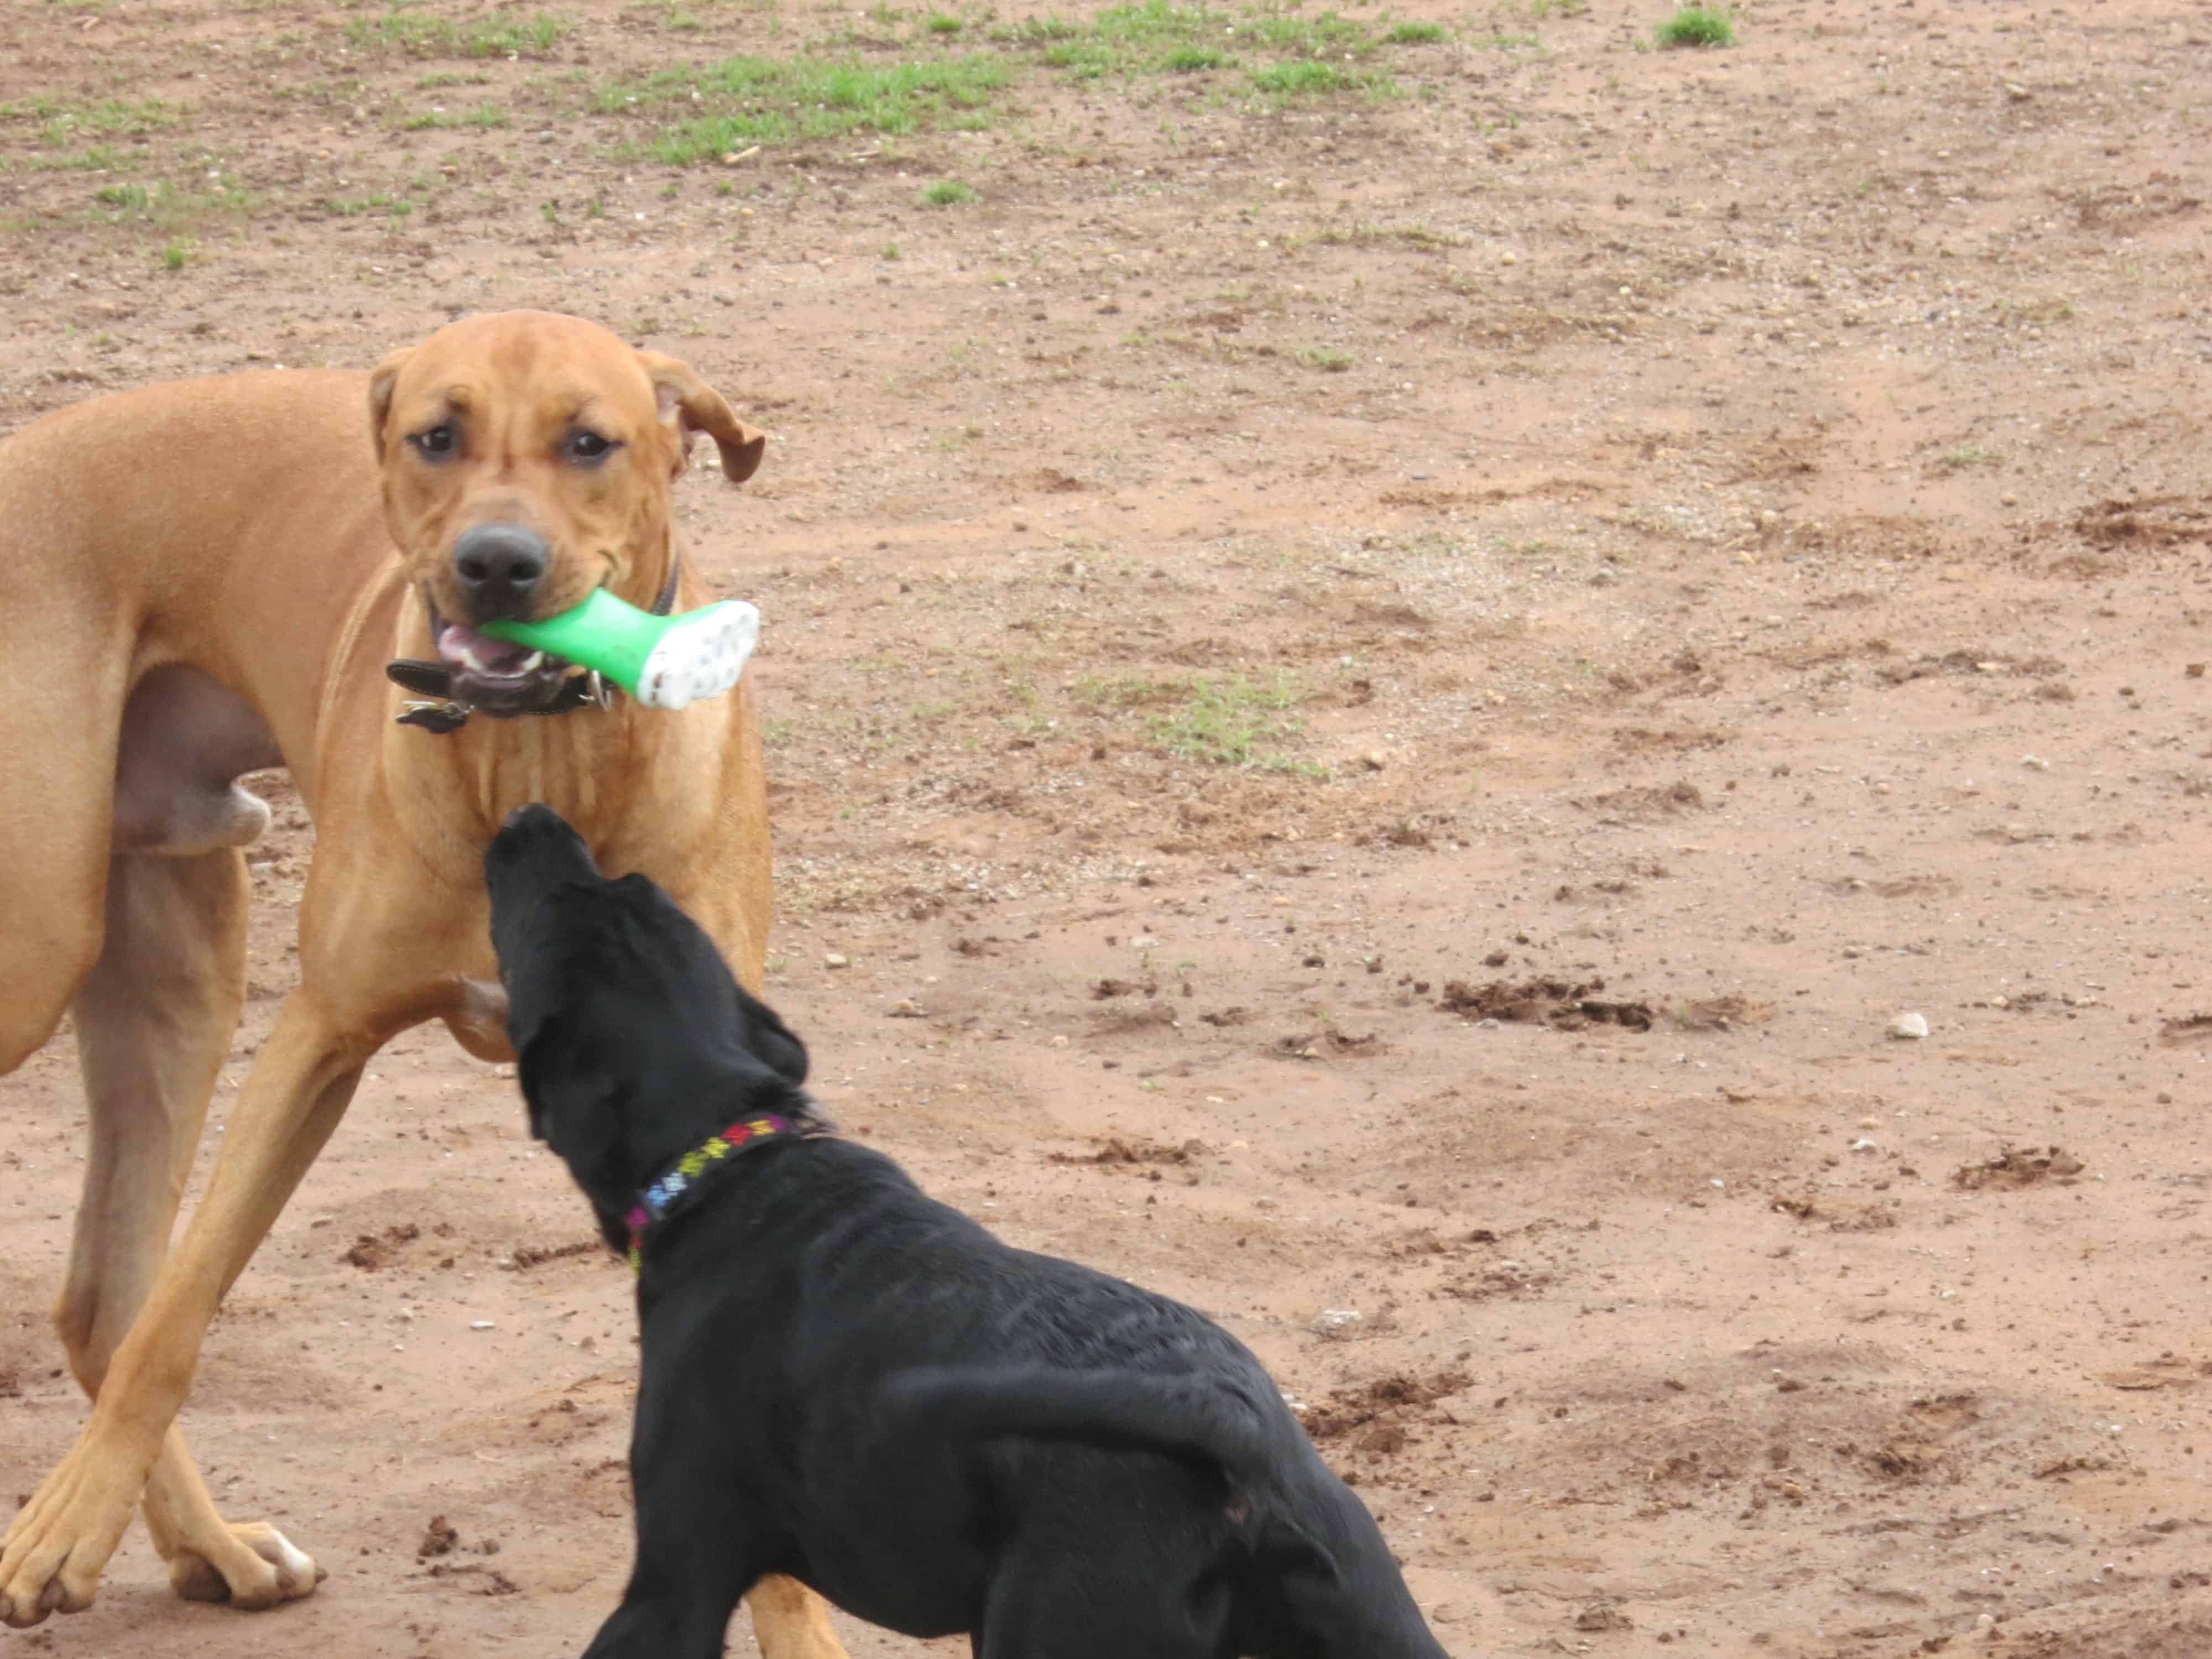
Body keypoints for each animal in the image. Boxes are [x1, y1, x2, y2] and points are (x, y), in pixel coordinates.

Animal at [0, 310, 845, 1655]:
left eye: (590, 442)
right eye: (435, 438)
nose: (495, 562)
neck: (541, 753)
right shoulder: (320, 1035)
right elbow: (185, 1311)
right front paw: (62, 1527)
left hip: (176, 963)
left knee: (102, 1299)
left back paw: (215, 1553)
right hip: (38, 937)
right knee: (135, 1304)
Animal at [484, 801, 1451, 1655]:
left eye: (554, 911)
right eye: (631, 886)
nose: (531, 817)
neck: (732, 1156)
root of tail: (1242, 1447)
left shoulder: (676, 1585)